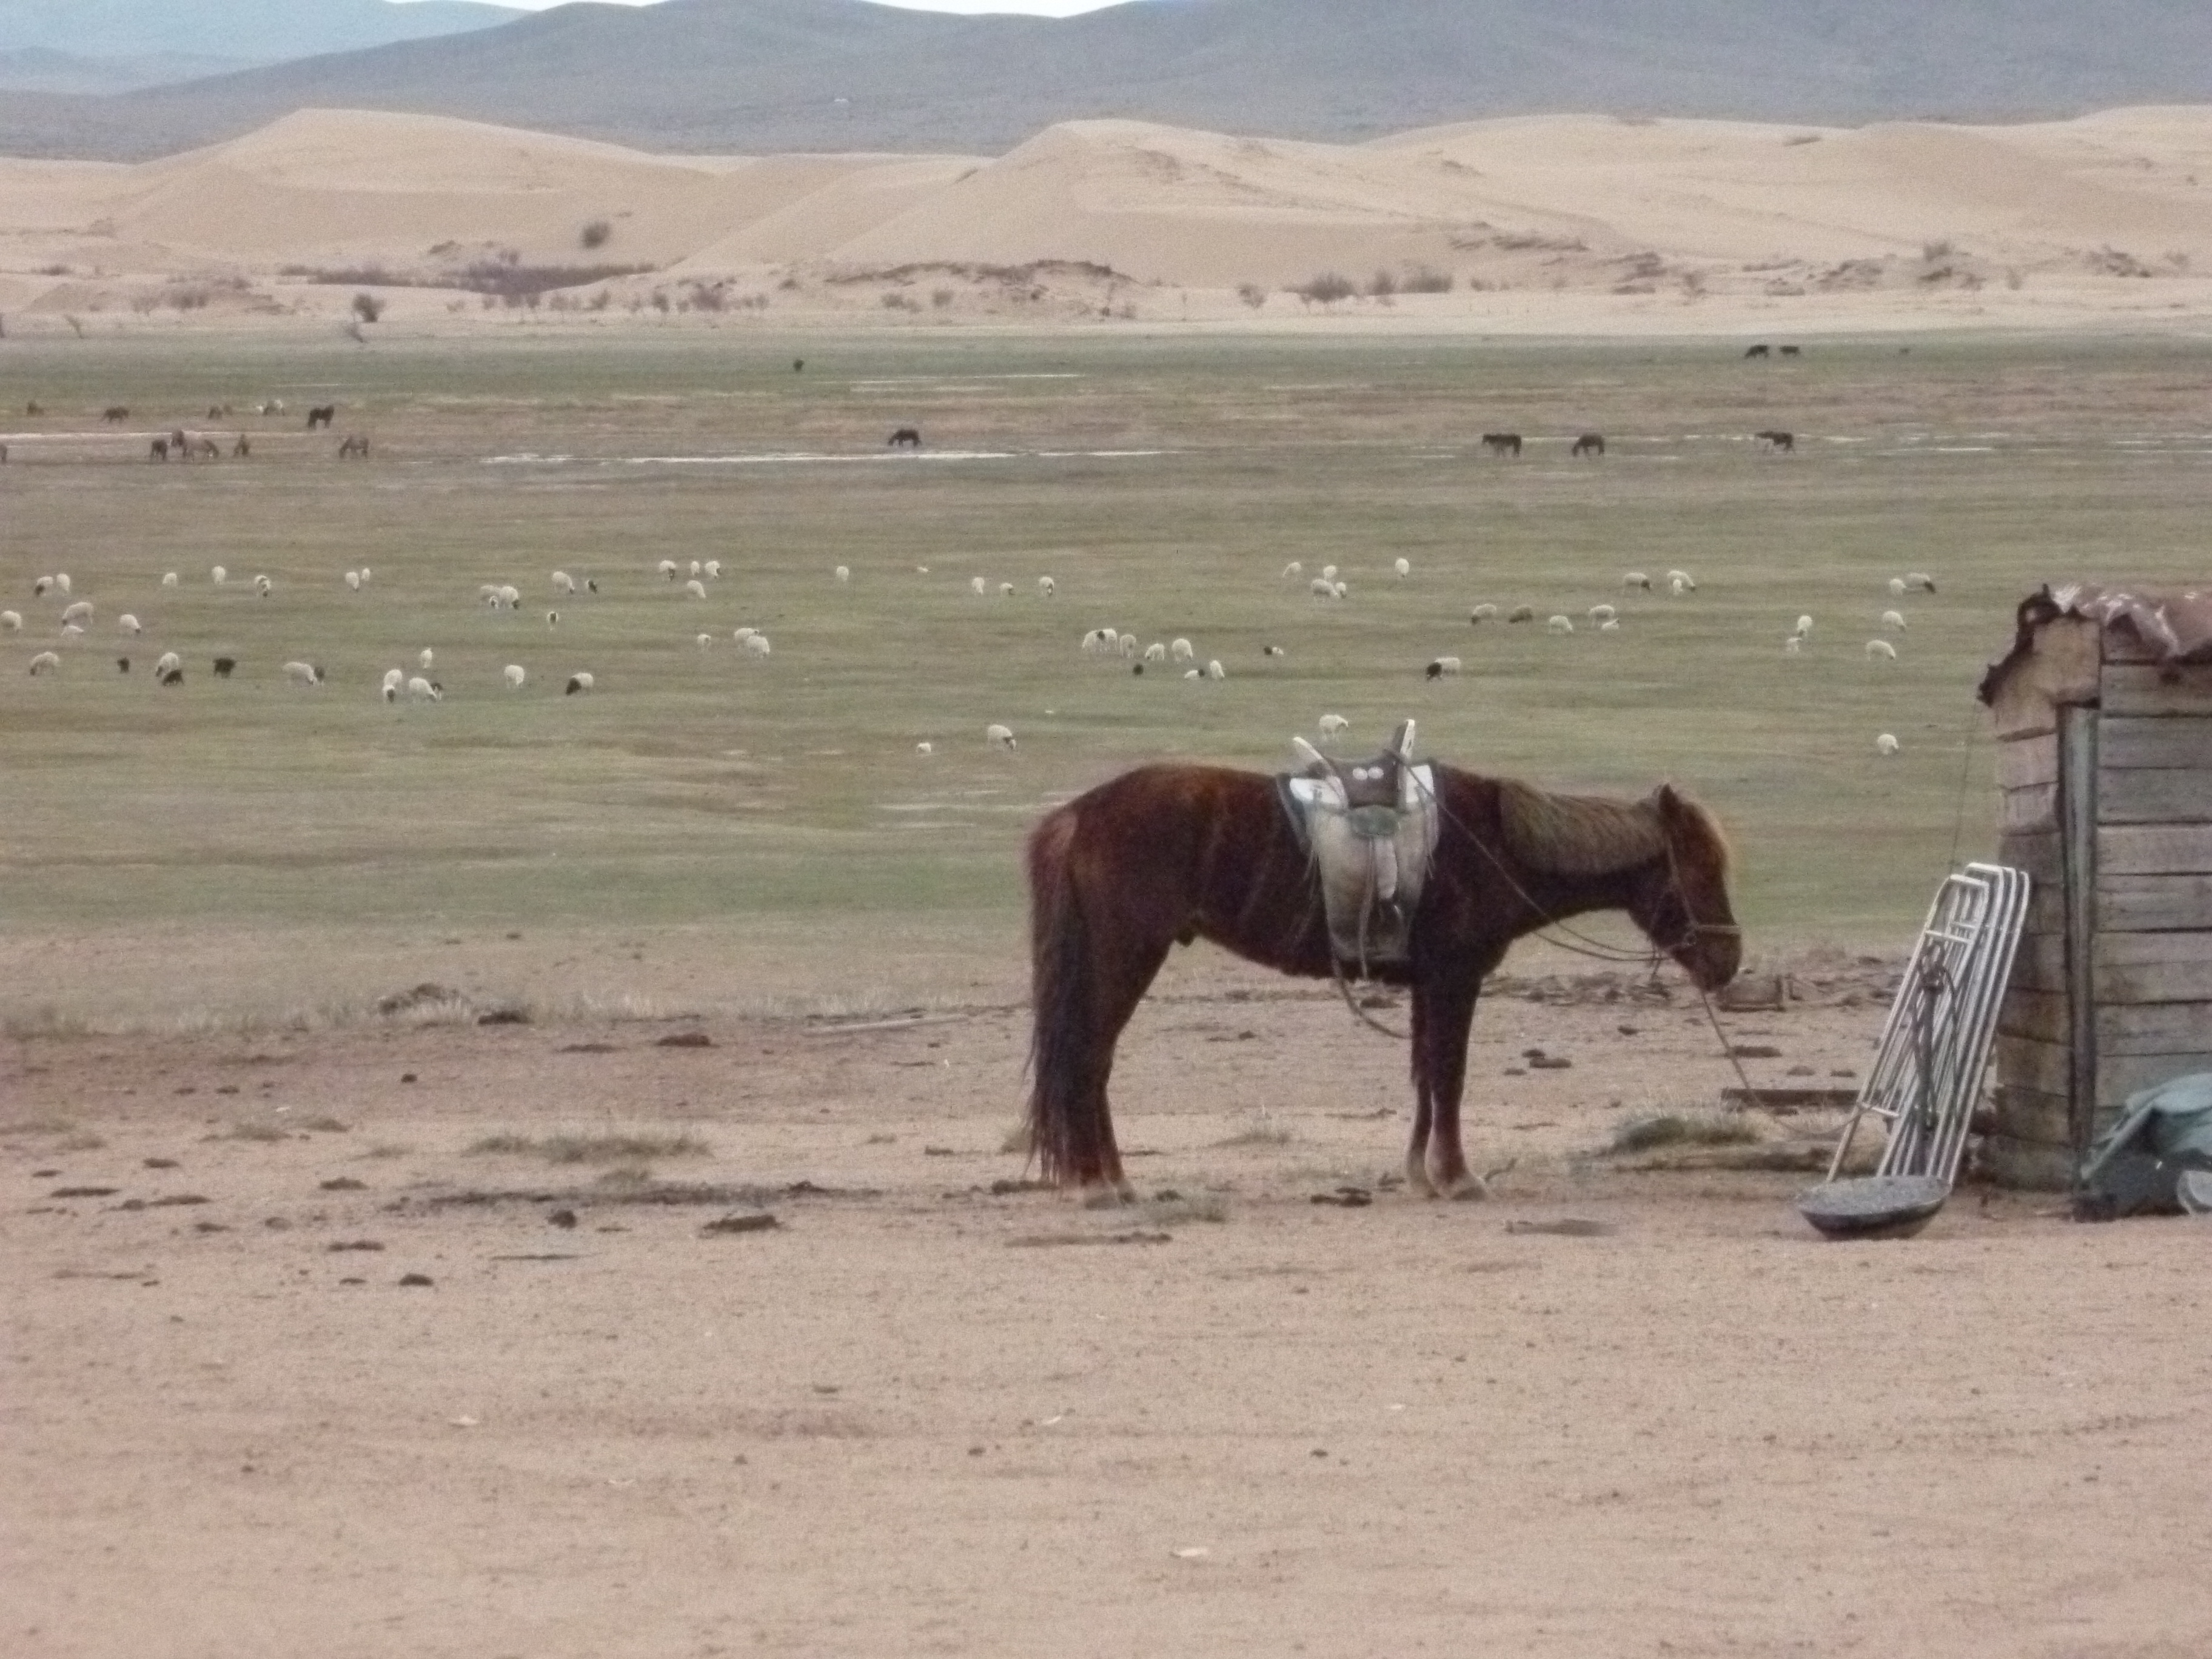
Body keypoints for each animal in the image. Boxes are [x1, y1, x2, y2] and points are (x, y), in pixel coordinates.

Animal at [1024, 761, 1740, 1198]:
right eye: (1701, 869)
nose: (1728, 960)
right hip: (1126, 957)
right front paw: (1458, 1178)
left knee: (1092, 1063)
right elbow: (1449, 1076)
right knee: (1089, 1060)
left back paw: (1111, 1178)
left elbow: (1425, 1077)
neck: (1498, 849)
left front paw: (1422, 1175)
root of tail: (1080, 814)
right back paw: (1100, 1183)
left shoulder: (1429, 985)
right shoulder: (1455, 980)